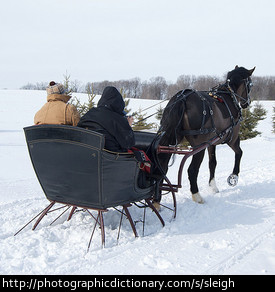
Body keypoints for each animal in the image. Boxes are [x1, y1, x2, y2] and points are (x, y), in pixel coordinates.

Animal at [155, 65, 256, 204]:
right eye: (250, 84)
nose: (247, 103)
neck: (230, 96)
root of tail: (182, 99)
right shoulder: (232, 138)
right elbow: (239, 153)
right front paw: (233, 177)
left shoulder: (211, 143)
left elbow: (212, 162)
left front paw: (213, 186)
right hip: (198, 146)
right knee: (192, 170)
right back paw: (197, 195)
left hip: (170, 140)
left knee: (162, 166)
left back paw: (157, 201)